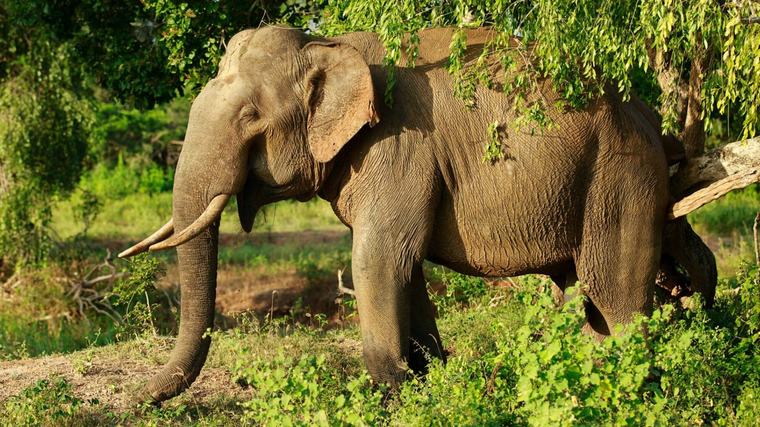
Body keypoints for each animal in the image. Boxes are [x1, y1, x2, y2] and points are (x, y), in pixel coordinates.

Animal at [120, 25, 716, 403]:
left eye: (249, 116)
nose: (139, 399)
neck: (332, 44)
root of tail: (650, 118)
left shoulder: (400, 146)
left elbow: (377, 259)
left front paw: (397, 390)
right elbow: (404, 269)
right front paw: (431, 378)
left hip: (620, 179)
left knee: (616, 298)